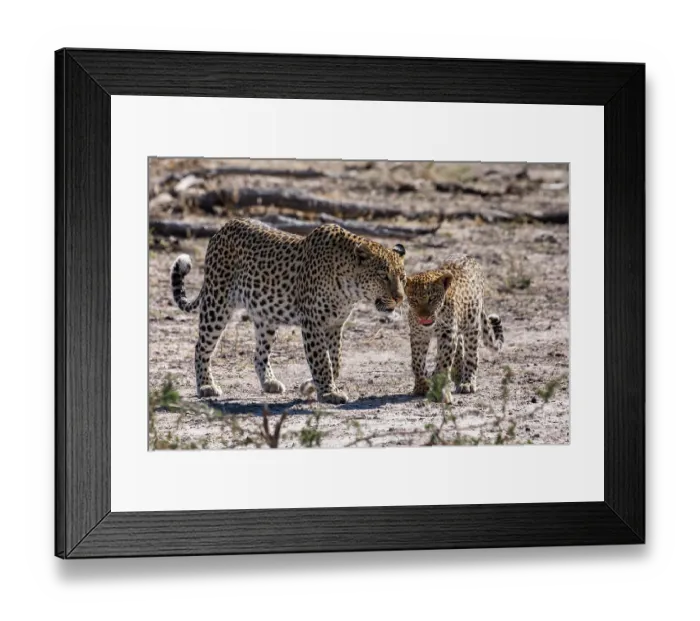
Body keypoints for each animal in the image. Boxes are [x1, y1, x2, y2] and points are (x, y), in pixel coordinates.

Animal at [170, 218, 407, 404]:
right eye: (383, 276)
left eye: (402, 278)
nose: (400, 297)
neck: (350, 289)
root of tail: (223, 227)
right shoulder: (313, 324)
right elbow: (322, 361)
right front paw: (328, 393)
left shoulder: (335, 325)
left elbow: (336, 362)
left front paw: (311, 386)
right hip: (216, 304)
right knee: (201, 346)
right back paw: (205, 386)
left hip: (265, 316)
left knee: (259, 353)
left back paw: (269, 382)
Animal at [405, 254, 503, 399]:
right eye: (414, 300)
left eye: (432, 299)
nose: (424, 317)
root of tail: (467, 256)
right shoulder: (418, 335)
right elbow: (417, 362)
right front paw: (421, 386)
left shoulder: (448, 333)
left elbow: (443, 361)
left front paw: (437, 383)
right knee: (459, 348)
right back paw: (457, 375)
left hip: (472, 325)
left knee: (471, 356)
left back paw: (467, 382)